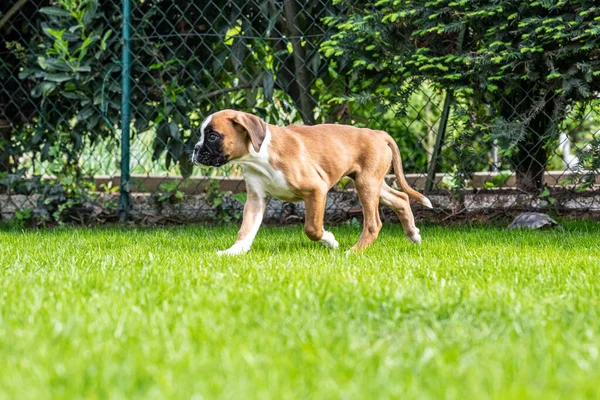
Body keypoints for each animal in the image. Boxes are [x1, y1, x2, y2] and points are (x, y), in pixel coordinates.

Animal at [195, 108, 434, 255]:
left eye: (213, 136)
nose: (195, 150)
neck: (258, 156)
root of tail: (377, 133)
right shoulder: (256, 200)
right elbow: (246, 230)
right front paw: (234, 251)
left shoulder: (316, 190)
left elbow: (312, 228)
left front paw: (330, 240)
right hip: (373, 182)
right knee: (401, 198)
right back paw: (413, 235)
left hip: (366, 185)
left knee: (374, 223)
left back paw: (353, 252)